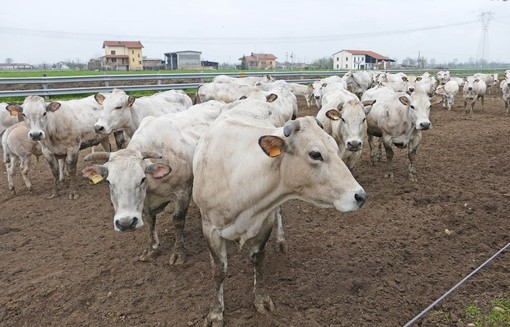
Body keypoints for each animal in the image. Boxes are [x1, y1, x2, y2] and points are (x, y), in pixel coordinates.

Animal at [83, 100, 227, 266]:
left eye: (142, 179)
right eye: (108, 182)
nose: (126, 223)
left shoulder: (183, 191)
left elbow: (178, 220)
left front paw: (178, 252)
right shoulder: (145, 202)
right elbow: (150, 221)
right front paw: (152, 248)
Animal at [192, 114, 366, 326]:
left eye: (334, 145)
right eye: (315, 154)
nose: (360, 196)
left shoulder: (266, 220)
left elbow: (258, 259)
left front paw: (261, 300)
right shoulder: (209, 228)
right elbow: (219, 270)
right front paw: (216, 313)